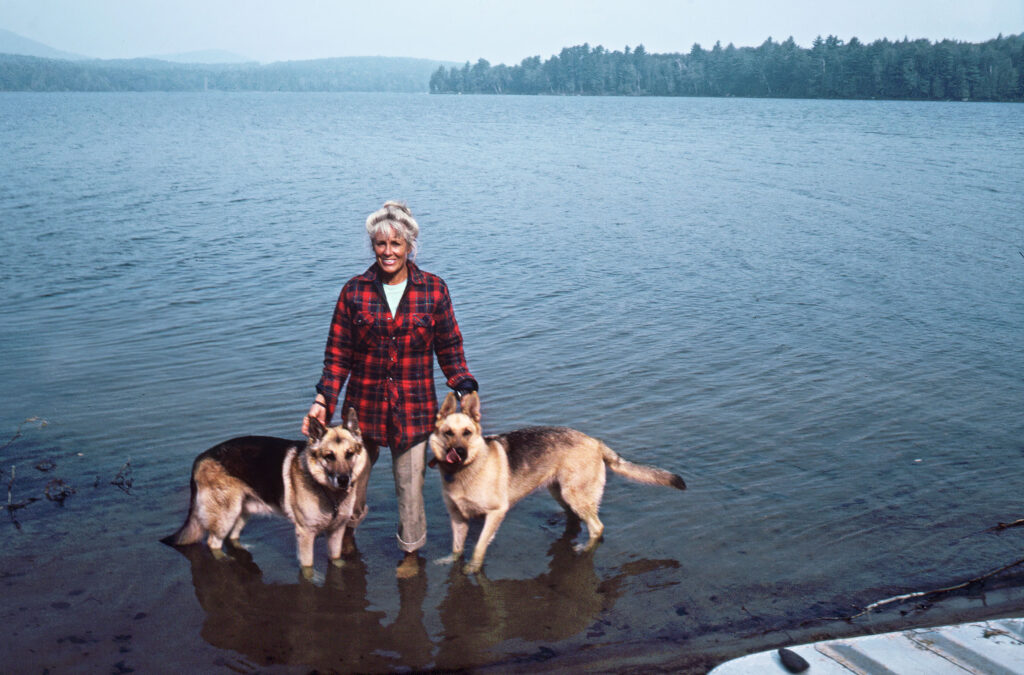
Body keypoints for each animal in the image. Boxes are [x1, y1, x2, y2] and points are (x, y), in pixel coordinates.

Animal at [165, 409, 374, 573]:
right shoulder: (305, 535)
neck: (327, 490)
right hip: (225, 516)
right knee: (213, 543)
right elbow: (307, 568)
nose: (343, 480)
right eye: (329, 456)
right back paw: (224, 559)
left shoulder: (336, 533)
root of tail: (200, 458)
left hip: (242, 512)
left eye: (349, 454)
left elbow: (336, 559)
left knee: (232, 537)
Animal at [428, 391, 684, 577]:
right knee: (577, 519)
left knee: (597, 527)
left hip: (574, 496)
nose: (459, 453)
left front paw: (473, 567)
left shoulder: (495, 513)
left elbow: (479, 546)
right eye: (448, 433)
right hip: (560, 493)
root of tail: (596, 442)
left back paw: (583, 549)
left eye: (467, 433)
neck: (463, 471)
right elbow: (457, 547)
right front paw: (451, 561)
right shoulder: (458, 518)